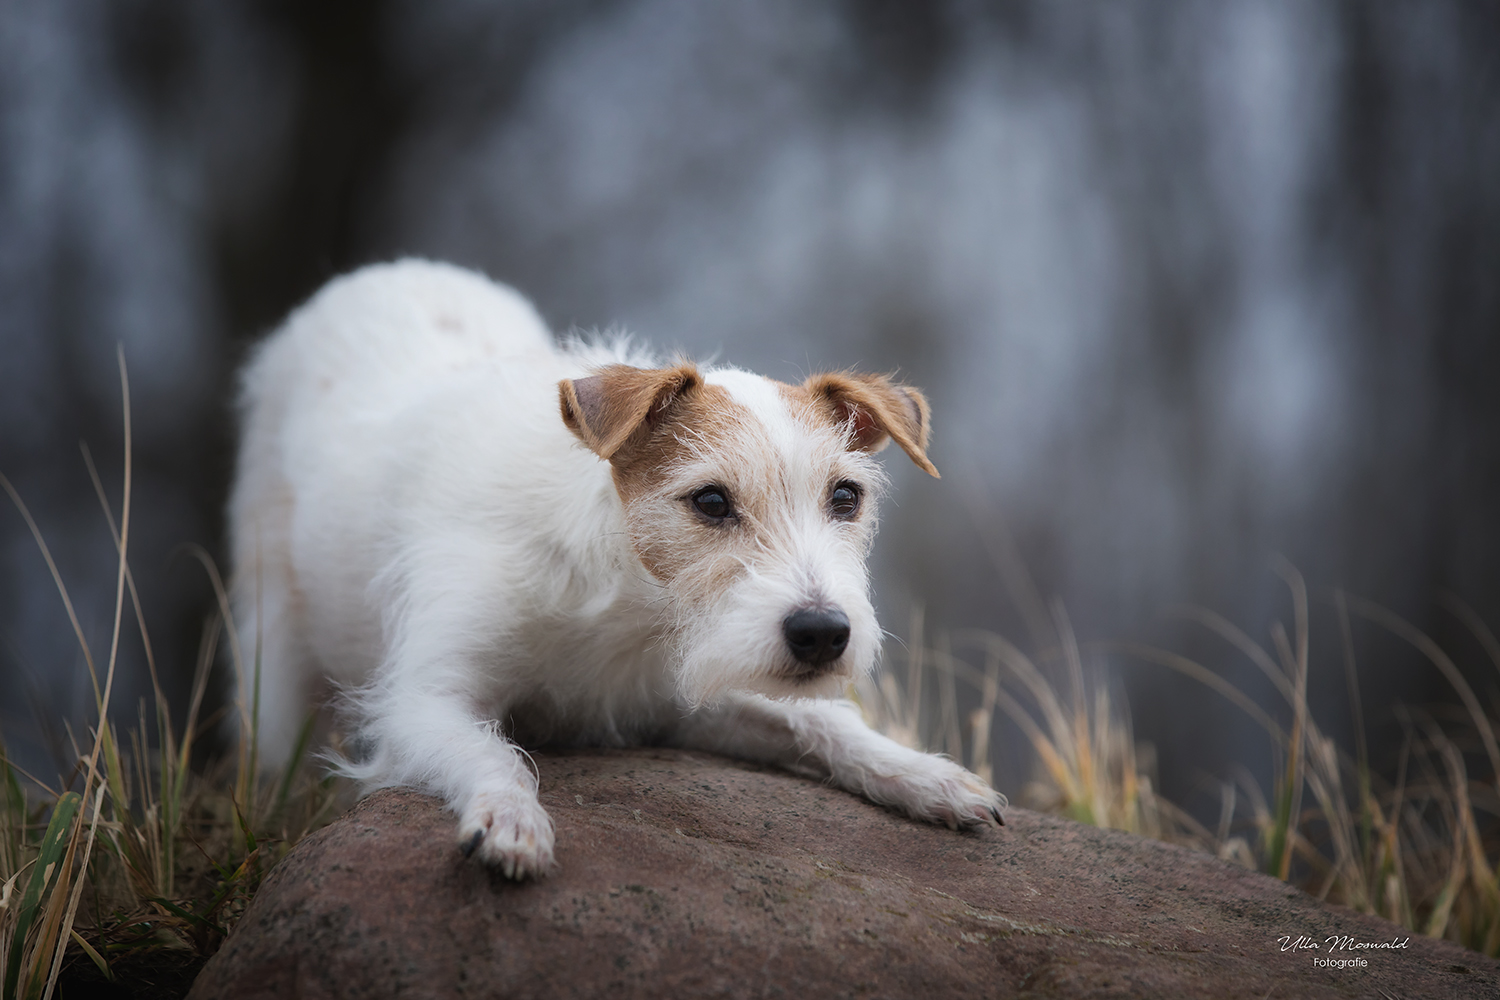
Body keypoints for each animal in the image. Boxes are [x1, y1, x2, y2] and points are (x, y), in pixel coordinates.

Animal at [228, 262, 1008, 881]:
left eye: (845, 497)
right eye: (711, 501)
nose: (822, 633)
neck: (618, 598)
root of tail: (386, 271)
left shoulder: (681, 699)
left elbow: (820, 720)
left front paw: (924, 775)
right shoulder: (423, 702)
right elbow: (493, 755)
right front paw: (511, 819)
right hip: (272, 636)